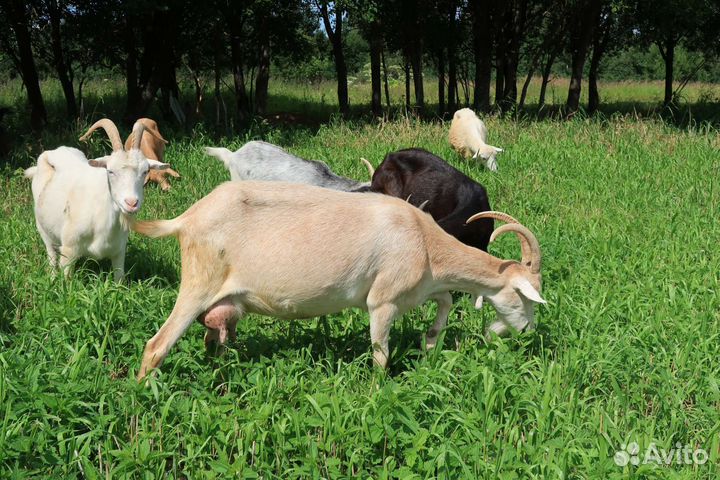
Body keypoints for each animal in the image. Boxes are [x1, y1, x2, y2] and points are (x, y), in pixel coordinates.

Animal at [24, 119, 169, 281]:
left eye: (145, 171)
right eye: (110, 171)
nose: (131, 203)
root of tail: (53, 152)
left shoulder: (119, 251)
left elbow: (119, 279)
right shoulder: (69, 250)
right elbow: (66, 279)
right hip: (42, 228)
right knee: (51, 253)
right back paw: (52, 277)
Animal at [129, 181, 545, 380]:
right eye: (527, 297)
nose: (526, 332)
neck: (424, 240)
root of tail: (188, 218)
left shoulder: (421, 287)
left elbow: (443, 301)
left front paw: (430, 341)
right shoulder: (383, 299)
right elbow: (381, 353)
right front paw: (379, 391)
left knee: (211, 338)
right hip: (199, 282)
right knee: (156, 345)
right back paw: (143, 394)